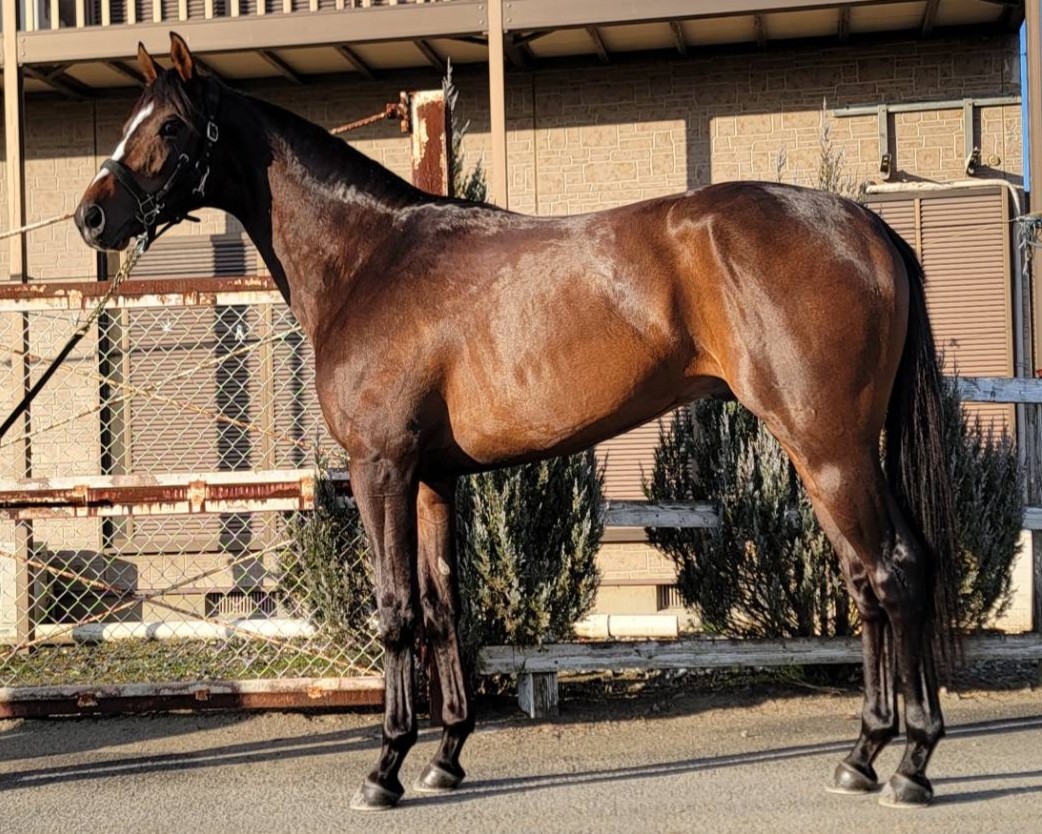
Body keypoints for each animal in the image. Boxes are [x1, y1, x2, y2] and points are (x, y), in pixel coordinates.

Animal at [75, 33, 960, 812]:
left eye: (169, 126)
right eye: (128, 120)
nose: (91, 217)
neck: (371, 259)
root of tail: (862, 225)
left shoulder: (380, 468)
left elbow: (396, 609)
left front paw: (385, 767)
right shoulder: (432, 477)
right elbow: (442, 606)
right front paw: (446, 757)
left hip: (829, 446)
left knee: (895, 572)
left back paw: (913, 764)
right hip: (830, 450)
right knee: (870, 582)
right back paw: (863, 755)